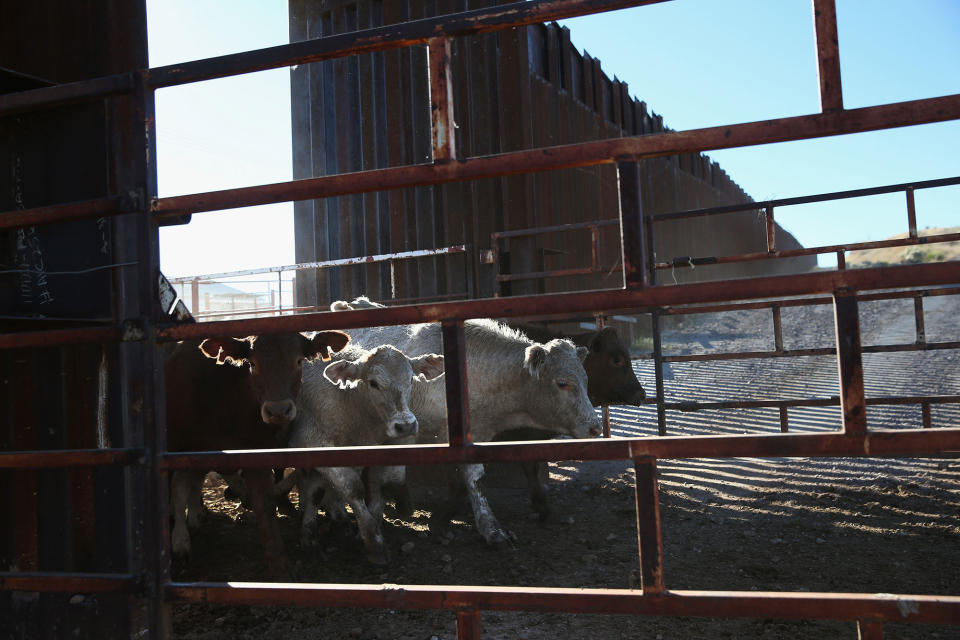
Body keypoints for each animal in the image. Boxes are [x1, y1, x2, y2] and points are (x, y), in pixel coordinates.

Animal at [164, 330, 348, 576]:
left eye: (299, 361)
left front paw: (278, 561)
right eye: (252, 363)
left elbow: (265, 502)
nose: (278, 410)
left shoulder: (258, 453)